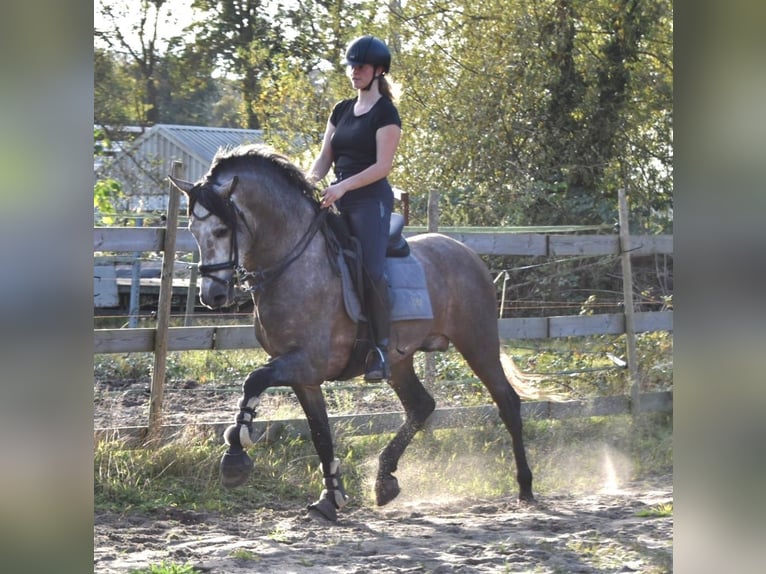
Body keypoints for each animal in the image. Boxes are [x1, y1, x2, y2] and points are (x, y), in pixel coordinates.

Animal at [170, 144, 536, 520]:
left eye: (221, 231)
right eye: (193, 231)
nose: (212, 296)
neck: (294, 262)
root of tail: (467, 253)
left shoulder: (308, 361)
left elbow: (253, 381)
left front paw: (235, 457)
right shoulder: (303, 376)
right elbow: (320, 433)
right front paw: (331, 497)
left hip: (477, 342)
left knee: (507, 402)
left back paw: (525, 486)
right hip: (399, 360)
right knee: (421, 406)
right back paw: (385, 481)